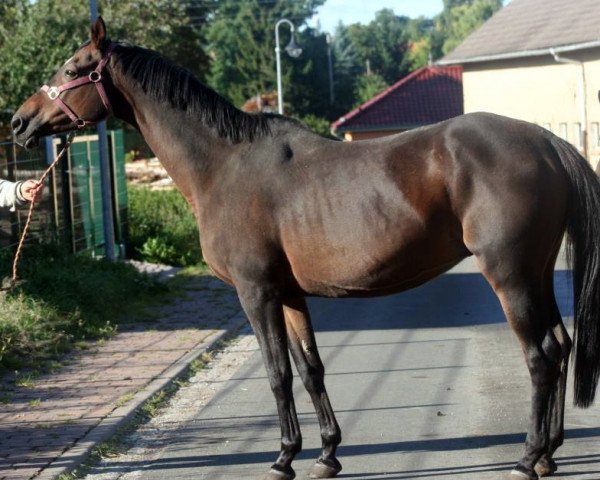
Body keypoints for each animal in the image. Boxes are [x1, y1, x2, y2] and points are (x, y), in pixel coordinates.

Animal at [10, 15, 600, 480]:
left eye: (73, 68)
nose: (19, 121)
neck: (224, 166)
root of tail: (548, 142)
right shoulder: (289, 294)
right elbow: (311, 368)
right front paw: (326, 454)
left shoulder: (256, 294)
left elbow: (278, 374)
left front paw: (282, 458)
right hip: (536, 273)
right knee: (560, 344)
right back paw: (550, 454)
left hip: (509, 276)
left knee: (540, 356)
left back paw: (527, 458)